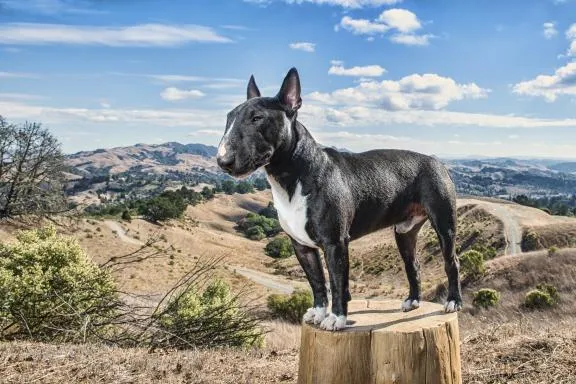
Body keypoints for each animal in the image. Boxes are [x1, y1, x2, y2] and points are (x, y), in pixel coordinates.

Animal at [217, 67, 464, 330]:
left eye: (257, 118)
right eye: (229, 118)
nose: (222, 161)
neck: (294, 175)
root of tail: (436, 161)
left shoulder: (335, 242)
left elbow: (337, 282)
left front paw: (336, 317)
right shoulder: (301, 246)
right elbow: (316, 282)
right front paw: (318, 312)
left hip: (444, 225)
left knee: (452, 262)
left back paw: (453, 301)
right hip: (404, 232)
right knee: (413, 264)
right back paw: (413, 300)